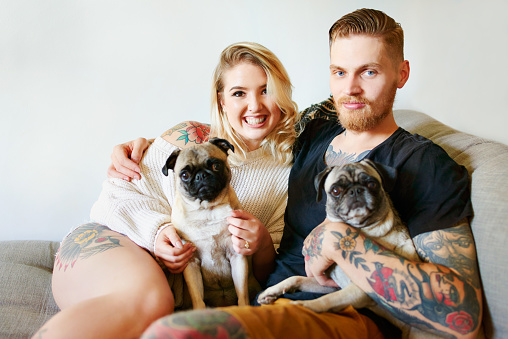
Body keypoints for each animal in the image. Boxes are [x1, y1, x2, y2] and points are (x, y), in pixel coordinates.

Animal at [163, 138, 258, 310]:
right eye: (185, 175)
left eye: (216, 166)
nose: (201, 175)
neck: (207, 210)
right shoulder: (191, 263)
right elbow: (197, 297)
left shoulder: (237, 256)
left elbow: (242, 293)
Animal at [258, 161, 440, 338]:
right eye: (336, 190)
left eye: (372, 184)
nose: (355, 190)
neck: (361, 230)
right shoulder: (331, 284)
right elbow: (296, 279)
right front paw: (272, 291)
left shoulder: (359, 290)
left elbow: (327, 300)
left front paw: (303, 306)